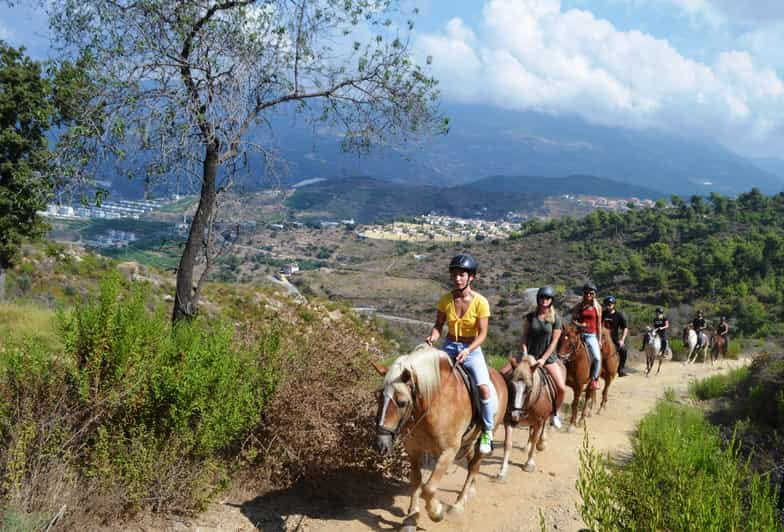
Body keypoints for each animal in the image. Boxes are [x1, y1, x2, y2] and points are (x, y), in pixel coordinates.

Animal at [373, 345, 509, 531]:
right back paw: (471, 491)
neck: (434, 402)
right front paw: (411, 517)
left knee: (474, 465)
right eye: (378, 397)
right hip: (467, 441)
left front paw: (436, 512)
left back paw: (458, 505)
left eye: (401, 402)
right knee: (472, 464)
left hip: (486, 435)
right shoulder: (413, 450)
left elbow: (429, 488)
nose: (381, 444)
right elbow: (416, 482)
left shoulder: (448, 452)